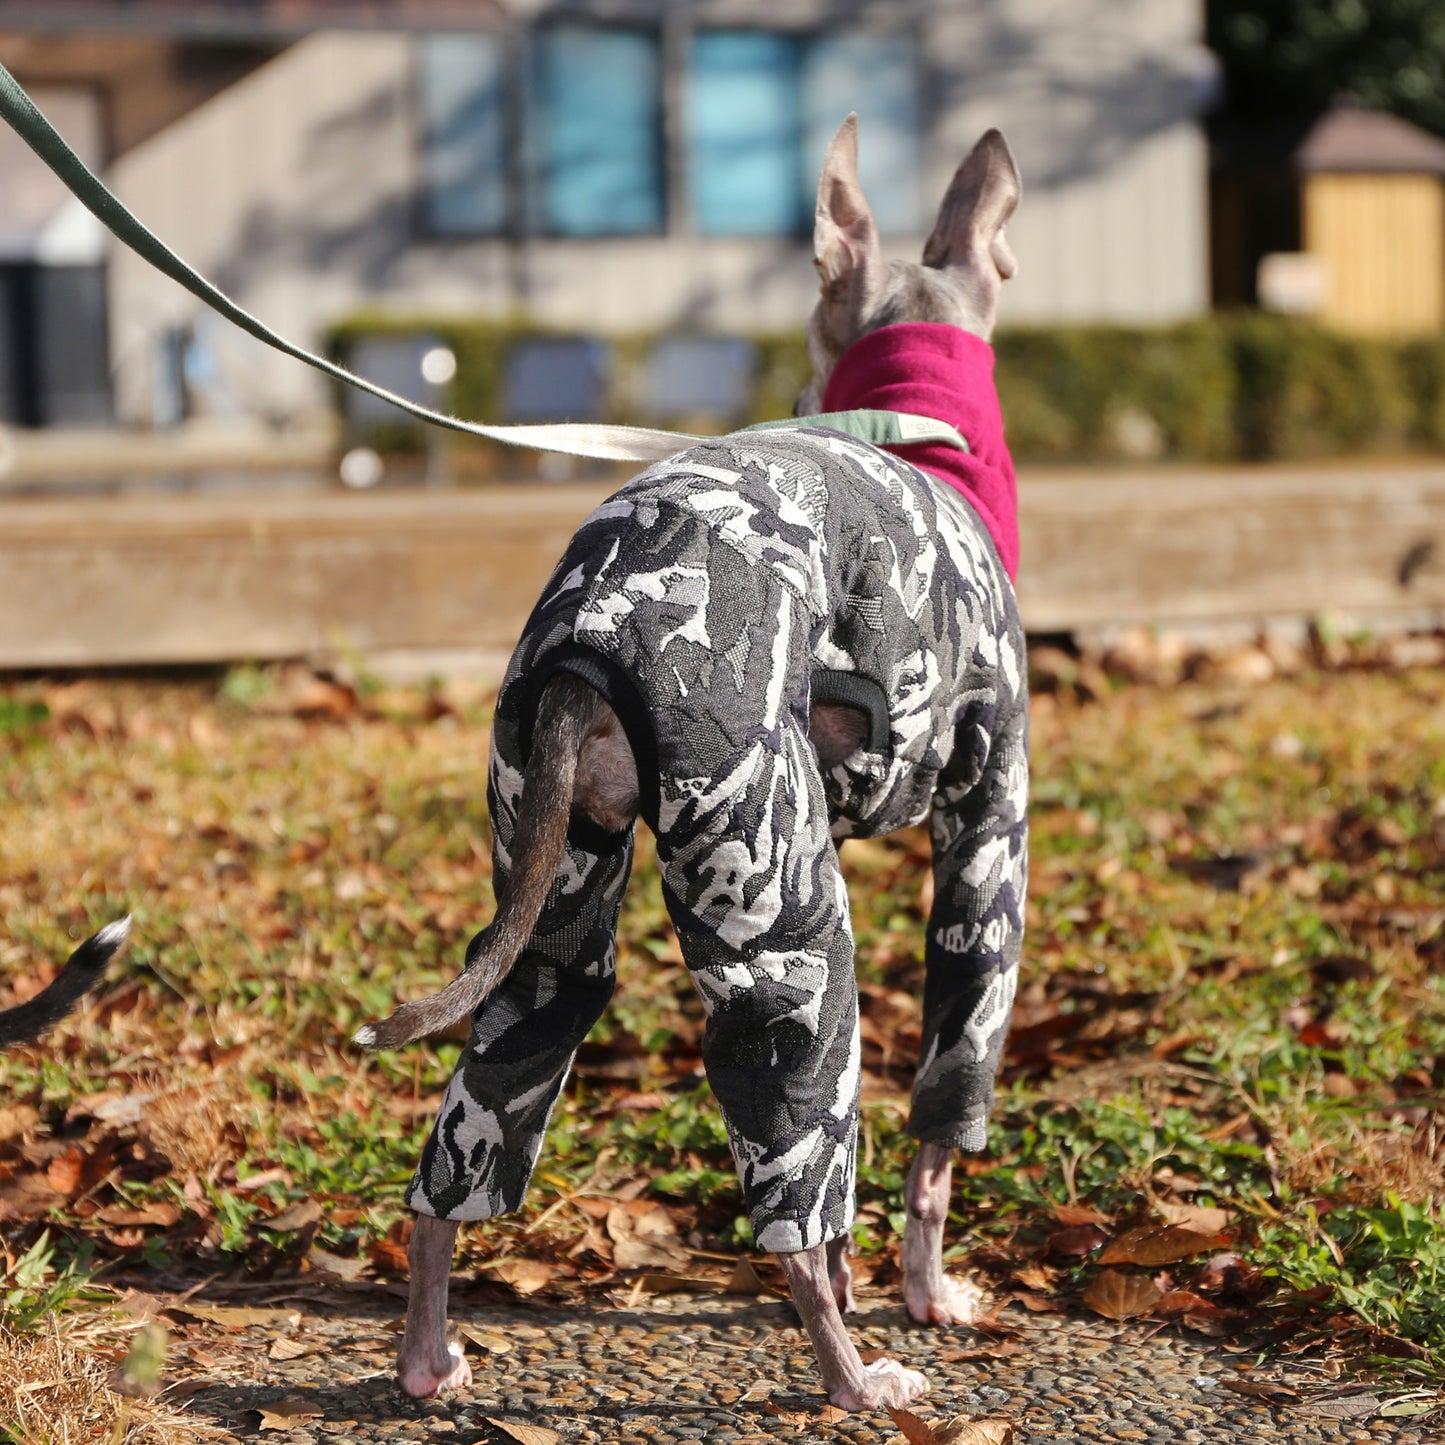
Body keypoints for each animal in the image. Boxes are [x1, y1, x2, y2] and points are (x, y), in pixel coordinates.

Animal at [359, 115, 1028, 1410]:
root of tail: (596, 629)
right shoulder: (988, 831)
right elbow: (940, 1115)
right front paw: (931, 1292)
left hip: (550, 890)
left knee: (465, 1141)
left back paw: (425, 1358)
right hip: (783, 915)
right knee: (796, 1185)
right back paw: (856, 1374)